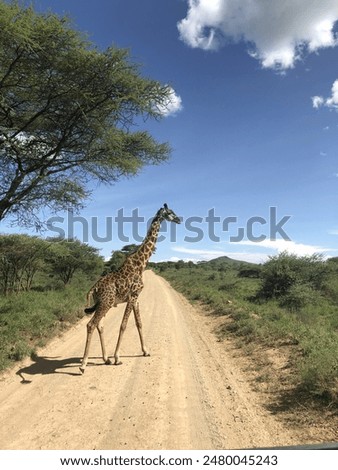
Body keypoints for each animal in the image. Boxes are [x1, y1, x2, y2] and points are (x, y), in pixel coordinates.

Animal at [79, 204, 181, 372]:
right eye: (170, 212)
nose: (179, 219)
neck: (141, 264)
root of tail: (93, 288)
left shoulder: (136, 298)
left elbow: (139, 323)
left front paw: (145, 351)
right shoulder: (133, 296)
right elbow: (123, 325)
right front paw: (117, 358)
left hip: (102, 304)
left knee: (100, 325)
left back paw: (105, 359)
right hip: (106, 303)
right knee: (91, 324)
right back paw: (83, 364)